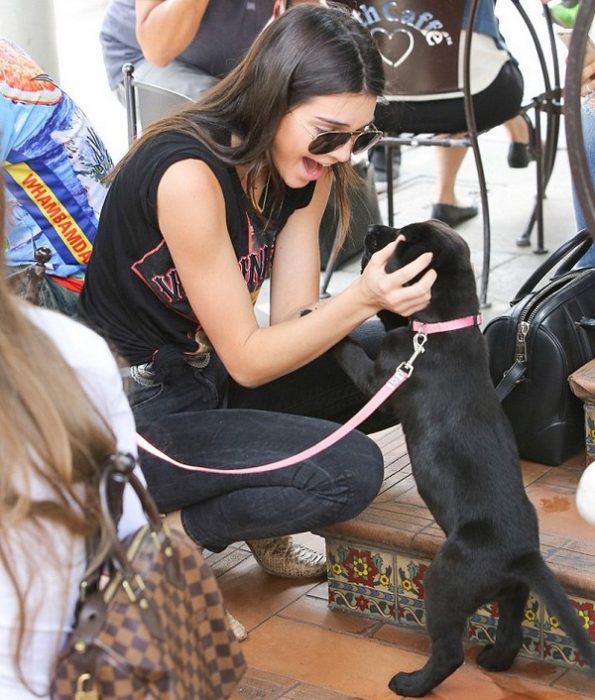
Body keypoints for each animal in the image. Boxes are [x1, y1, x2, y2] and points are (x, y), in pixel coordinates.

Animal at [336, 223, 595, 700]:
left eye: (400, 240)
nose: (372, 229)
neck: (440, 327)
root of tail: (522, 555)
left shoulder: (382, 380)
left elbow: (353, 354)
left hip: (443, 583)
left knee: (448, 653)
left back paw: (410, 683)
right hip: (512, 592)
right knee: (511, 630)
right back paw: (493, 660)